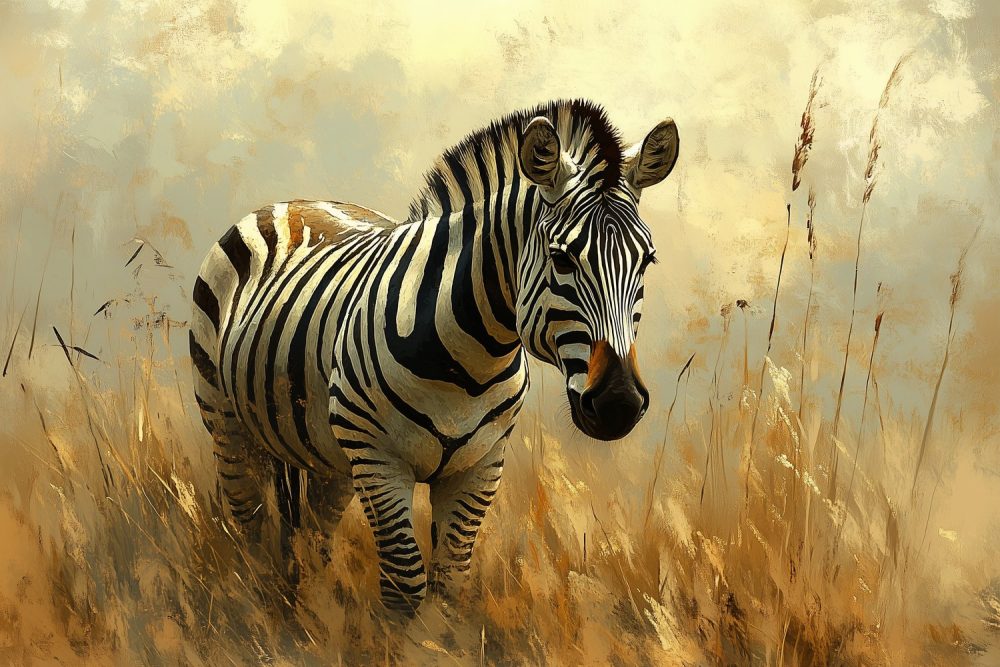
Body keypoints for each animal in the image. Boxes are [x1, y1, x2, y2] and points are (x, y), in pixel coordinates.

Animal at [189, 100, 679, 614]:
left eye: (647, 261)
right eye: (562, 259)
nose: (619, 403)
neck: (470, 365)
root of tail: (296, 202)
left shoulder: (480, 467)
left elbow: (450, 584)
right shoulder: (381, 461)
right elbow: (405, 586)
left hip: (328, 451)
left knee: (312, 535)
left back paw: (307, 607)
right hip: (228, 423)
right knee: (247, 526)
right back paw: (256, 607)